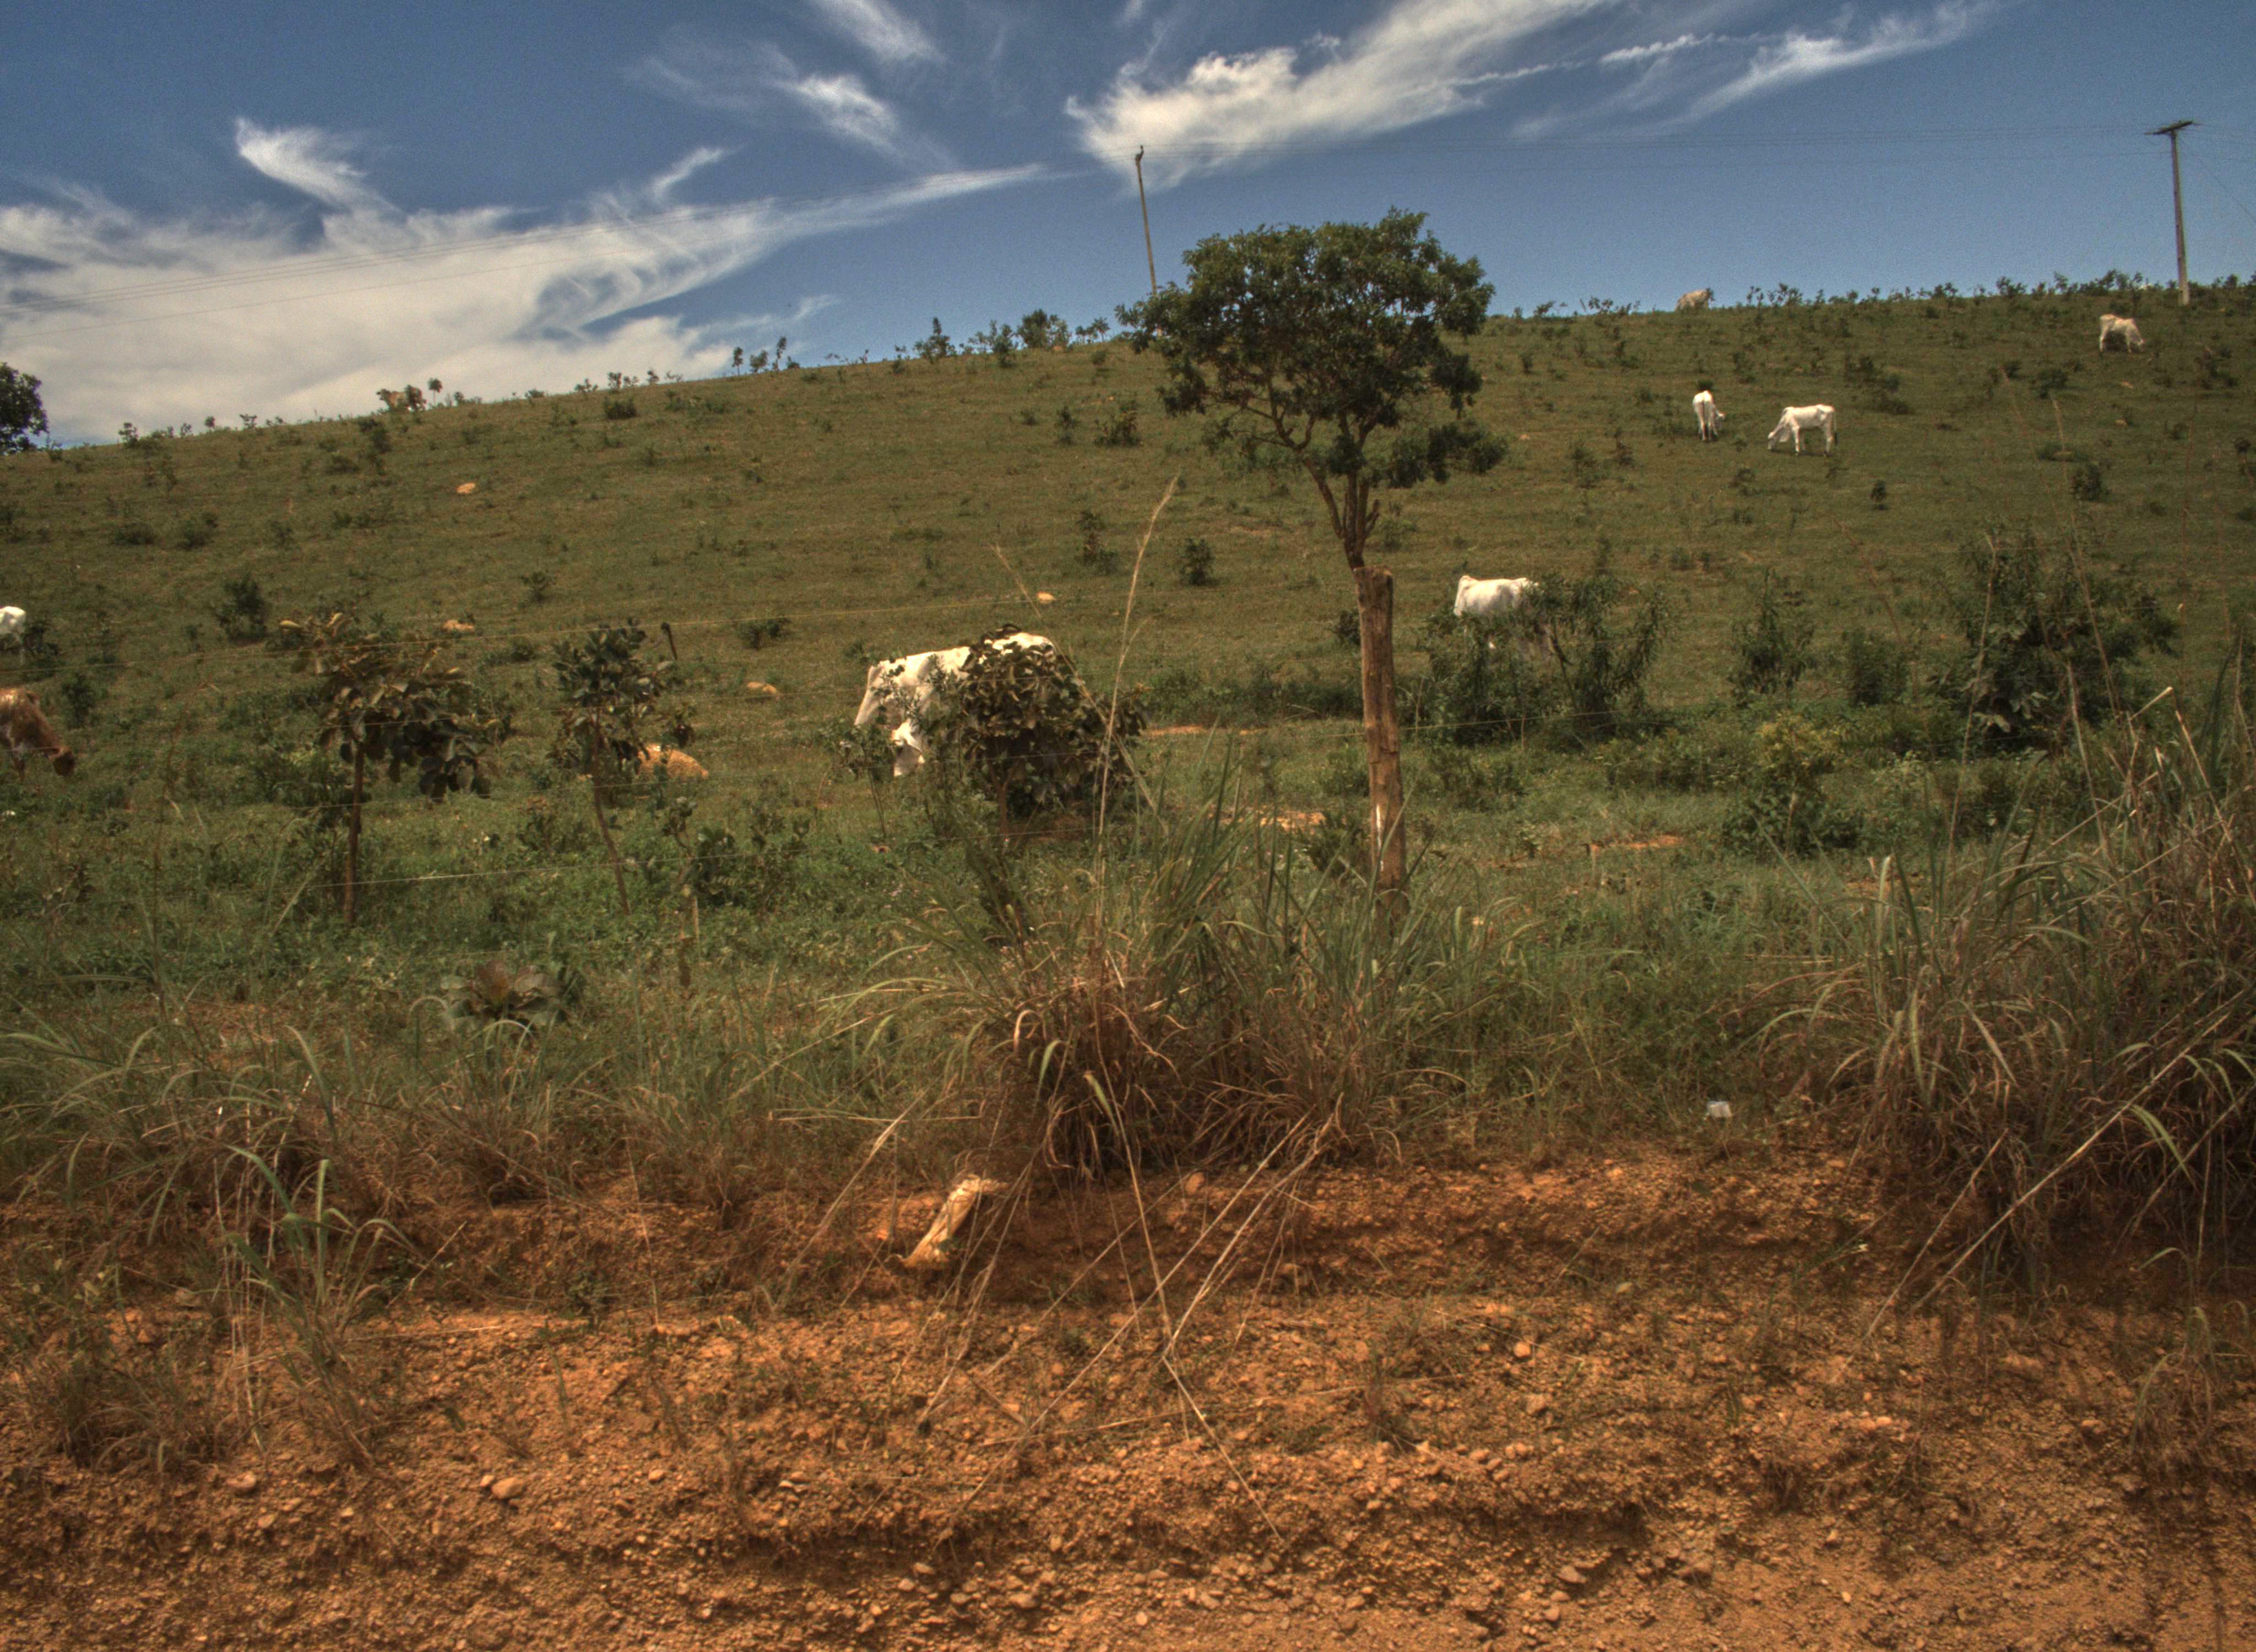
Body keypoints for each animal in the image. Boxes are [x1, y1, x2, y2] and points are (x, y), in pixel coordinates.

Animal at [1766, 404, 1837, 454]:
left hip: (1826, 427)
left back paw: (1826, 453)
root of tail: (1831, 408)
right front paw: (1804, 451)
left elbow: (1797, 441)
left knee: (1829, 438)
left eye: (1770, 440)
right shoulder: (1801, 430)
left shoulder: (1795, 428)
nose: (1769, 449)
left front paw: (1797, 452)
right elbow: (1802, 440)